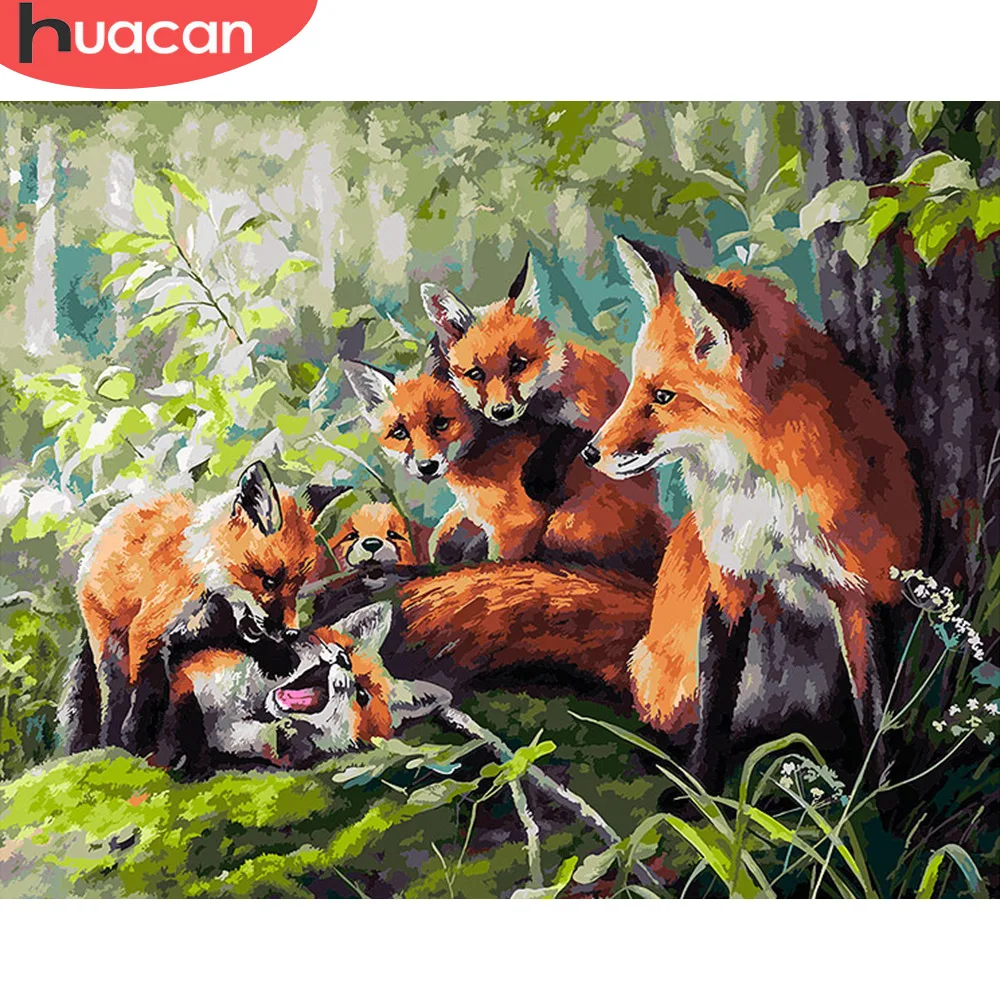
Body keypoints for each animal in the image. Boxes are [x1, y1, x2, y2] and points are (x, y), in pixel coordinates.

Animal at [72, 460, 342, 756]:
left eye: (297, 585)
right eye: (270, 581)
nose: (291, 633)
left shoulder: (205, 630)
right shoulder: (147, 631)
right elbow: (146, 694)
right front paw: (134, 742)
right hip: (110, 647)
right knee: (114, 697)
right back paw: (109, 740)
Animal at [343, 361, 669, 579]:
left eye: (440, 423)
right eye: (399, 433)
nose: (427, 466)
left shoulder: (517, 524)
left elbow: (498, 563)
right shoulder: (470, 517)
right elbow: (440, 540)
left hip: (563, 525)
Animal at [580, 236, 922, 788]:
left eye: (663, 396)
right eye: (635, 386)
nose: (590, 453)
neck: (768, 503)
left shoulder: (863, 585)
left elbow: (875, 713)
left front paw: (880, 796)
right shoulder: (730, 578)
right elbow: (716, 709)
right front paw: (700, 793)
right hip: (684, 675)